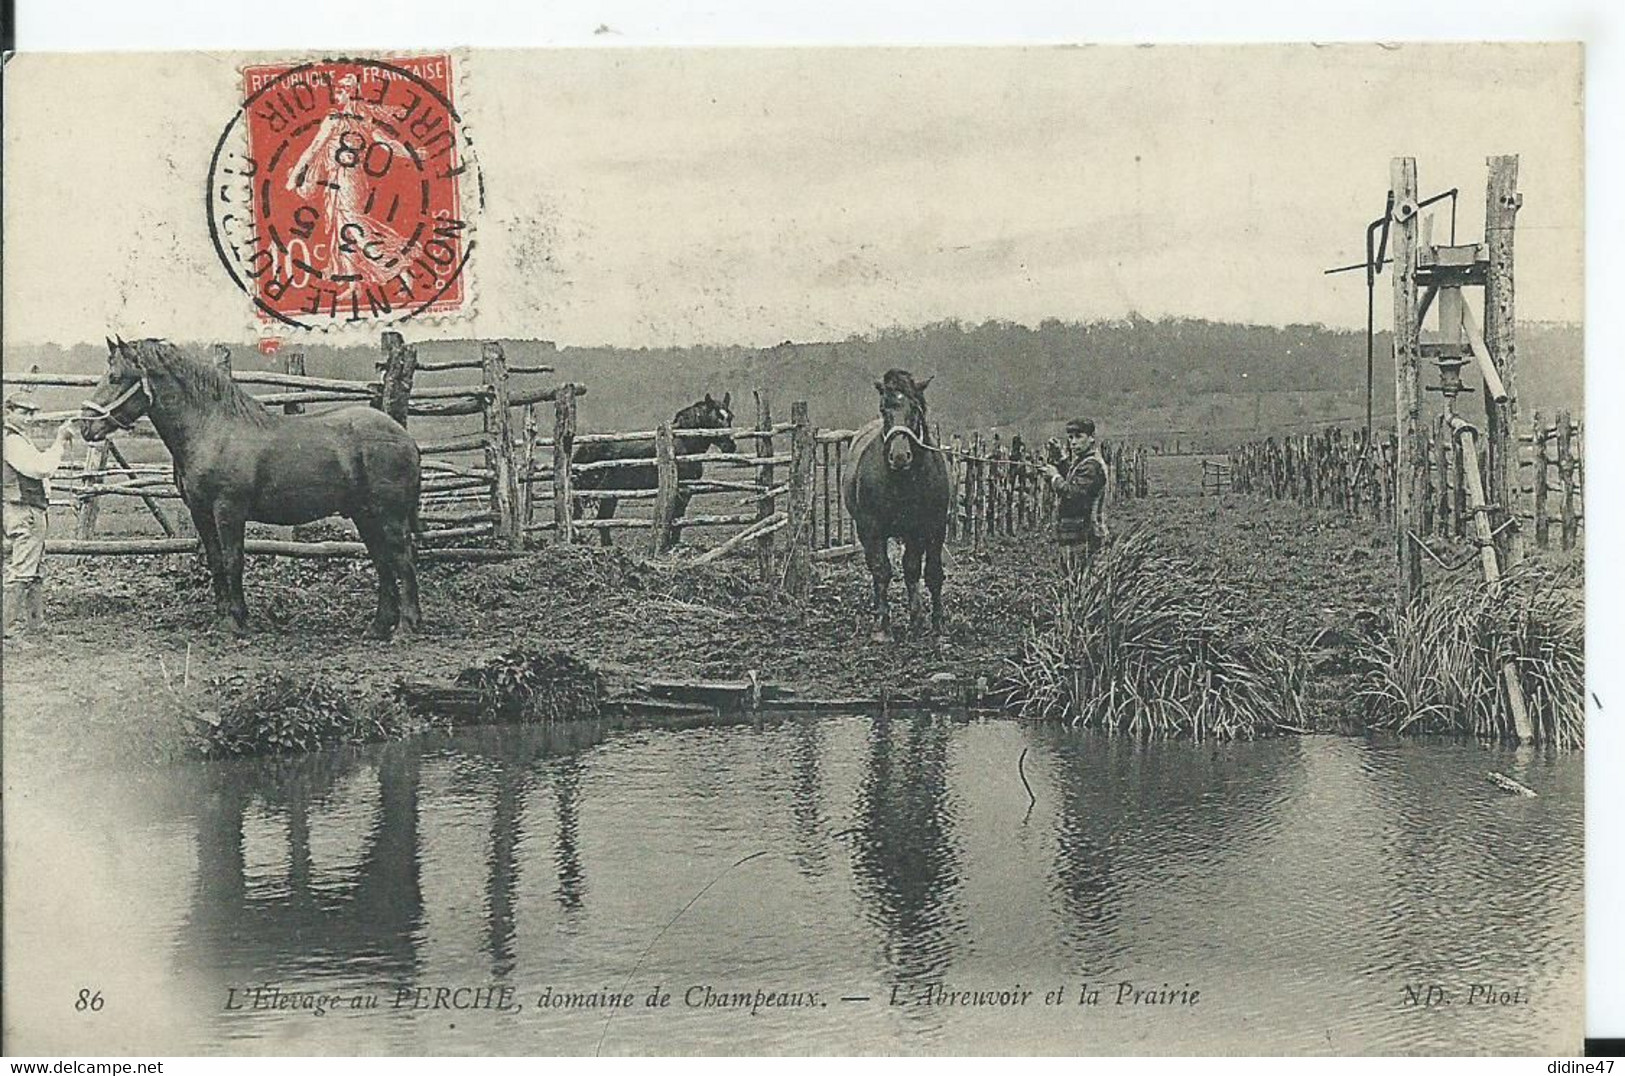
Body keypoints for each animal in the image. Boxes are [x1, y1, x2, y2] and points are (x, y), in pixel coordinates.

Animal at [82, 339, 422, 640]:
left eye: (116, 377)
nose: (85, 425)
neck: (212, 429)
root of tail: (404, 436)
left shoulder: (229, 509)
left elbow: (234, 559)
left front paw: (236, 622)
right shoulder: (200, 511)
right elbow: (216, 561)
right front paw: (222, 619)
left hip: (389, 517)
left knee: (403, 559)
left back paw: (406, 628)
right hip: (365, 516)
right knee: (383, 562)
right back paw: (379, 627)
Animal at [572, 391, 737, 552]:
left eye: (730, 416)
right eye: (715, 418)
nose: (730, 446)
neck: (683, 444)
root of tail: (585, 449)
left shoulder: (687, 491)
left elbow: (678, 519)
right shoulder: (682, 490)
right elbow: (676, 517)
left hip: (610, 493)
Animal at [845, 370, 949, 640]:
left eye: (915, 408)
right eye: (884, 409)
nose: (900, 457)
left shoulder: (930, 527)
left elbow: (926, 572)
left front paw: (930, 622)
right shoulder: (871, 528)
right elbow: (882, 570)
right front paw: (883, 626)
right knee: (876, 567)